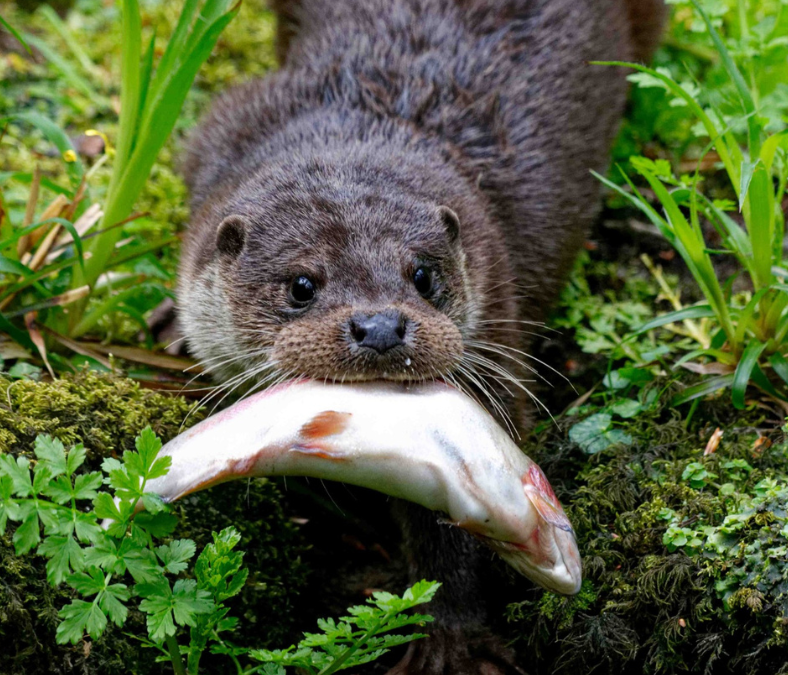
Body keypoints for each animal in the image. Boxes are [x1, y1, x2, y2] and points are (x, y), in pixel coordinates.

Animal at [178, 1, 666, 672]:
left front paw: (454, 641)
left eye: (422, 275)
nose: (381, 326)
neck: (363, 125)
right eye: (302, 284)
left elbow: (448, 540)